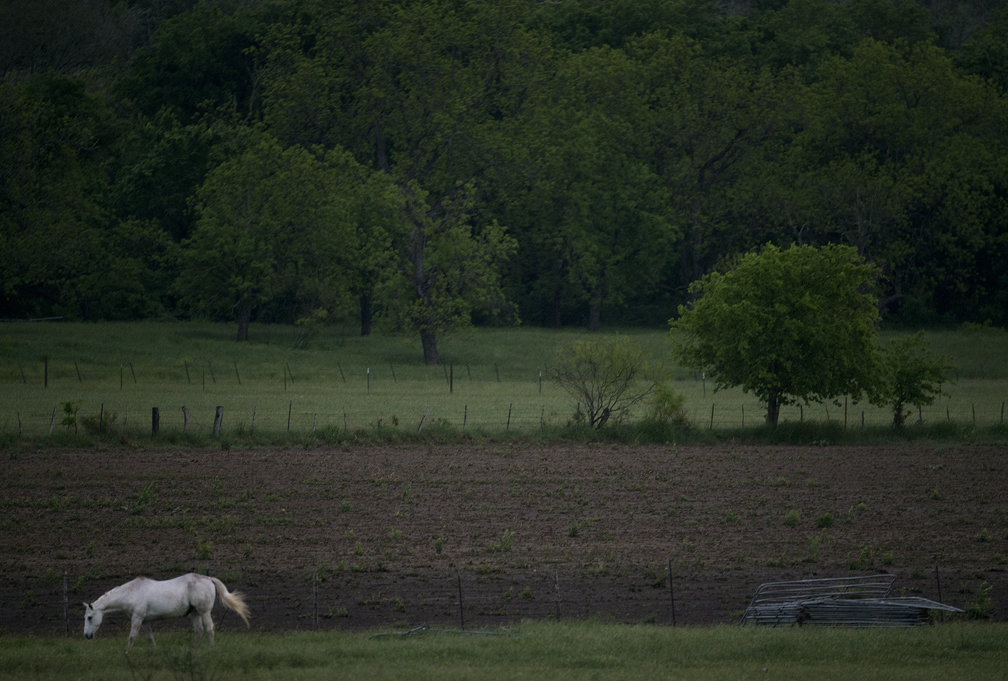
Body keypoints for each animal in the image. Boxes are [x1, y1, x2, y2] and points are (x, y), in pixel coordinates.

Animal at [83, 573, 250, 648]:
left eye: (89, 617)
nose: (87, 636)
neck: (132, 592)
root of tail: (208, 578)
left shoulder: (137, 618)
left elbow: (131, 637)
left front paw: (127, 653)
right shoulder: (145, 621)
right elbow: (150, 638)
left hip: (204, 612)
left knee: (209, 629)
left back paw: (210, 648)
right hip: (195, 613)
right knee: (198, 630)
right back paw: (195, 649)